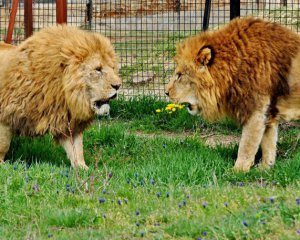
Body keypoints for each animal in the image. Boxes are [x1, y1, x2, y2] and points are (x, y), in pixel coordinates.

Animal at [0, 24, 123, 169]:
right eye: (98, 69)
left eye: (112, 68)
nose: (118, 85)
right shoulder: (5, 116)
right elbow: (3, 145)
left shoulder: (65, 121)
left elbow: (77, 150)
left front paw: (83, 169)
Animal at [165, 16, 300, 172]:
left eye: (180, 75)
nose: (166, 92)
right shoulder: (269, 114)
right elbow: (268, 145)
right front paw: (265, 169)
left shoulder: (255, 112)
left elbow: (246, 146)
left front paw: (236, 171)